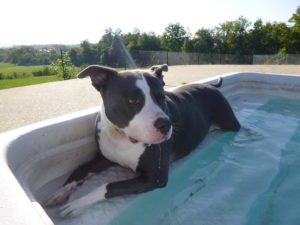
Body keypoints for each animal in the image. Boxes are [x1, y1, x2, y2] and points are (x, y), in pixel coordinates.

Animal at [45, 63, 241, 216]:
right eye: (133, 100)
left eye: (162, 97)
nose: (165, 124)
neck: (121, 137)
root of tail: (211, 86)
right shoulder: (105, 157)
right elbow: (81, 168)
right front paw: (61, 191)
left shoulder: (154, 178)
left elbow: (108, 186)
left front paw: (78, 203)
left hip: (231, 123)